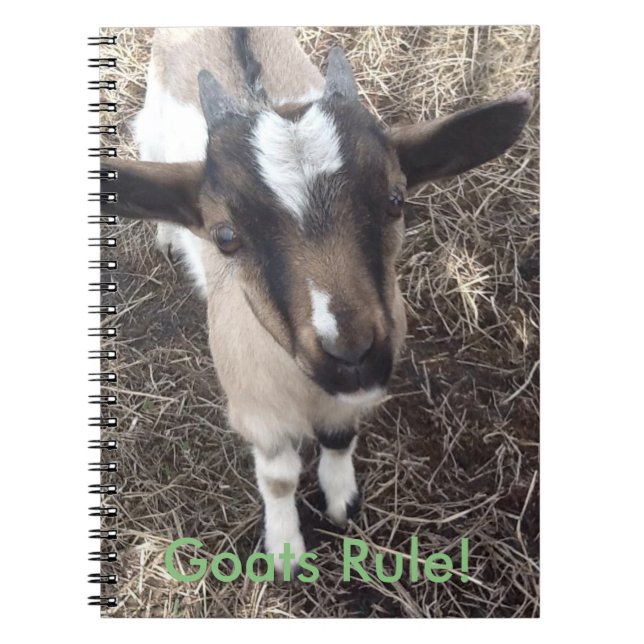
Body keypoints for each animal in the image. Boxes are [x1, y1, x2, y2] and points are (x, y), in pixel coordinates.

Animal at [102, 27, 531, 569]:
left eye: (395, 200)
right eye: (225, 235)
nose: (351, 353)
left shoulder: (353, 398)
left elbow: (339, 438)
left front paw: (342, 499)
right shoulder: (257, 414)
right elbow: (279, 479)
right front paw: (286, 549)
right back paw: (165, 235)